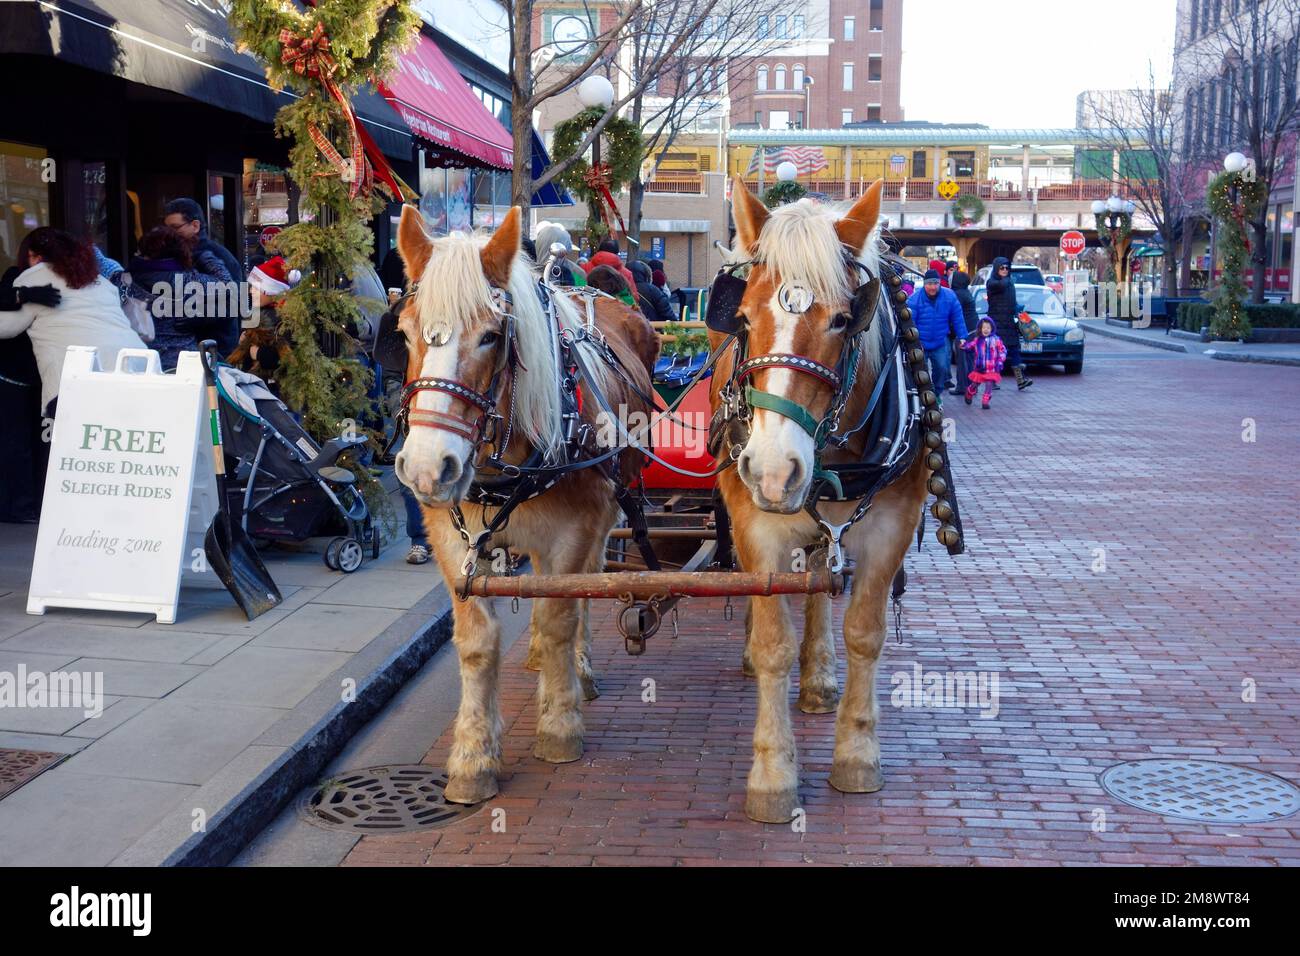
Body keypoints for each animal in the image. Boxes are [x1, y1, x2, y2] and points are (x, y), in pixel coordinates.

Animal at [392, 205, 660, 806]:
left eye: (491, 336)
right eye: (406, 331)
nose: (426, 467)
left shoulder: (576, 528)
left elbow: (561, 614)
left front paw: (559, 726)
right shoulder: (455, 539)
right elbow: (476, 641)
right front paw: (472, 758)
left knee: (589, 584)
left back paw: (578, 667)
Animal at [707, 179, 930, 822]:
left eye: (842, 321)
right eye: (743, 316)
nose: (774, 471)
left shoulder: (891, 525)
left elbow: (864, 632)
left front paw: (857, 753)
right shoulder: (757, 527)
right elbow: (773, 643)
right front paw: (773, 775)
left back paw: (820, 678)